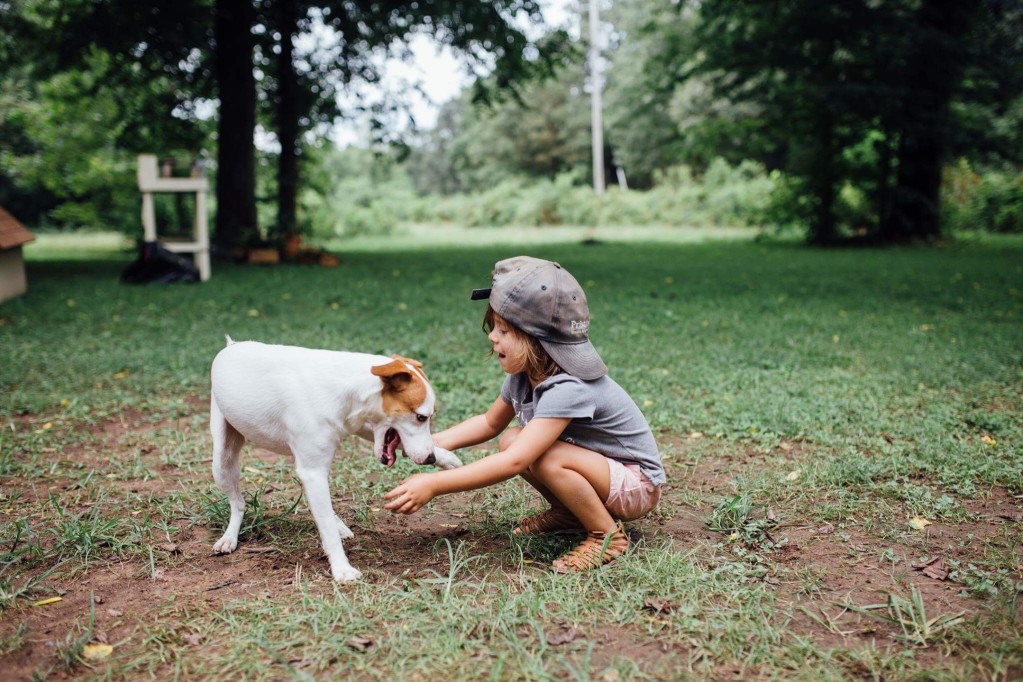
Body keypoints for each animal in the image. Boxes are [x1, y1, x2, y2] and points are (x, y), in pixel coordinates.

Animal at [209, 339, 462, 580]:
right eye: (421, 417)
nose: (429, 458)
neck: (346, 390)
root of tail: (232, 345)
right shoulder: (314, 471)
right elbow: (328, 532)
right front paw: (342, 568)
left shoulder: (361, 427)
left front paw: (446, 458)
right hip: (222, 462)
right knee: (238, 504)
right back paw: (230, 537)